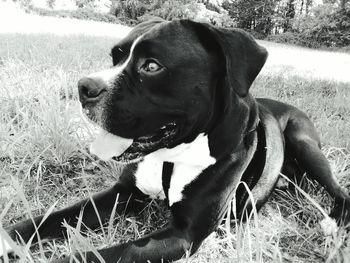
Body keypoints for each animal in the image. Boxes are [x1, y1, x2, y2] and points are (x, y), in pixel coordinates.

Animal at [2, 19, 350, 262]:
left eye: (152, 66)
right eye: (115, 56)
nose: (84, 87)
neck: (171, 154)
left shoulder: (182, 235)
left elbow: (101, 254)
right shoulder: (122, 194)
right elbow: (47, 221)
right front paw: (8, 238)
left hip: (303, 142)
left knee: (340, 192)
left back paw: (333, 223)